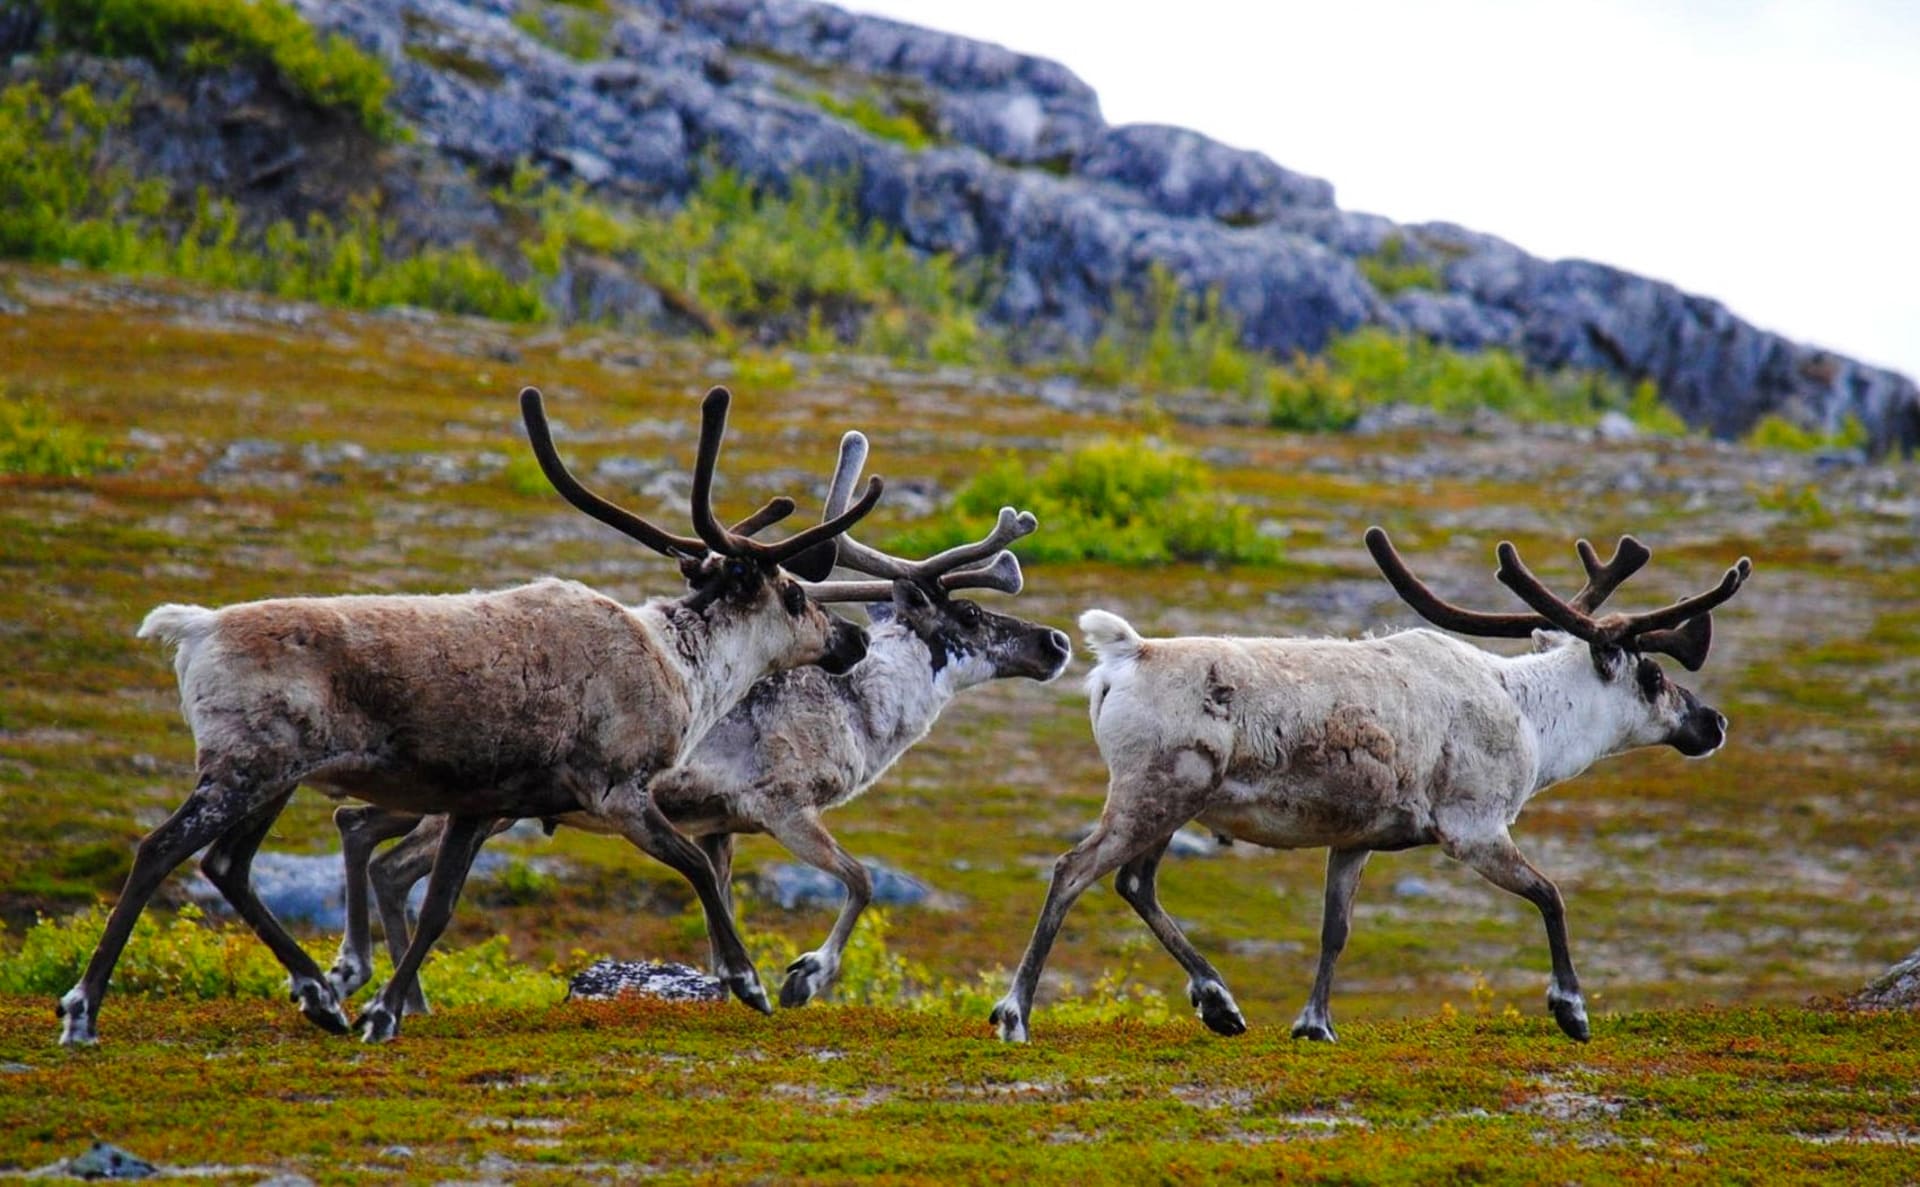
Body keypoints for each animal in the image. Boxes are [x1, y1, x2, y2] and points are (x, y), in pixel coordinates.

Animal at [57, 385, 891, 1045]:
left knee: (227, 864)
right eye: (795, 594)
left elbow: (437, 908)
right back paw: (84, 1008)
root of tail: (193, 627)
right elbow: (696, 867)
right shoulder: (614, 787)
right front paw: (751, 981)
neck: (683, 665)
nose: (851, 638)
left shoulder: (481, 801)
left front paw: (384, 1012)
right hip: (247, 765)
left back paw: (321, 996)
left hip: (277, 777)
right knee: (162, 849)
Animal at [328, 430, 1073, 1012]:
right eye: (970, 614)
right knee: (391, 863)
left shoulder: (719, 825)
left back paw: (382, 985)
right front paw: (803, 976)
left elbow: (722, 914)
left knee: (360, 827)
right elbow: (860, 879)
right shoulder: (782, 806)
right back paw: (400, 994)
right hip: (487, 805)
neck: (861, 707)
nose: (1056, 643)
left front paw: (741, 983)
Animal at [990, 526, 1750, 1045]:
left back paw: (1219, 1001)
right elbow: (1550, 895)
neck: (1532, 717)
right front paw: (1571, 1007)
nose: (1713, 721)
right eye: (1653, 675)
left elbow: (1336, 929)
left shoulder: (1355, 838)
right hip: (1154, 790)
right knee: (1074, 869)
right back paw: (1016, 1012)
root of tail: (1127, 654)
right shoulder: (1474, 826)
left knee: (1134, 882)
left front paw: (1314, 1022)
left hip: (1177, 801)